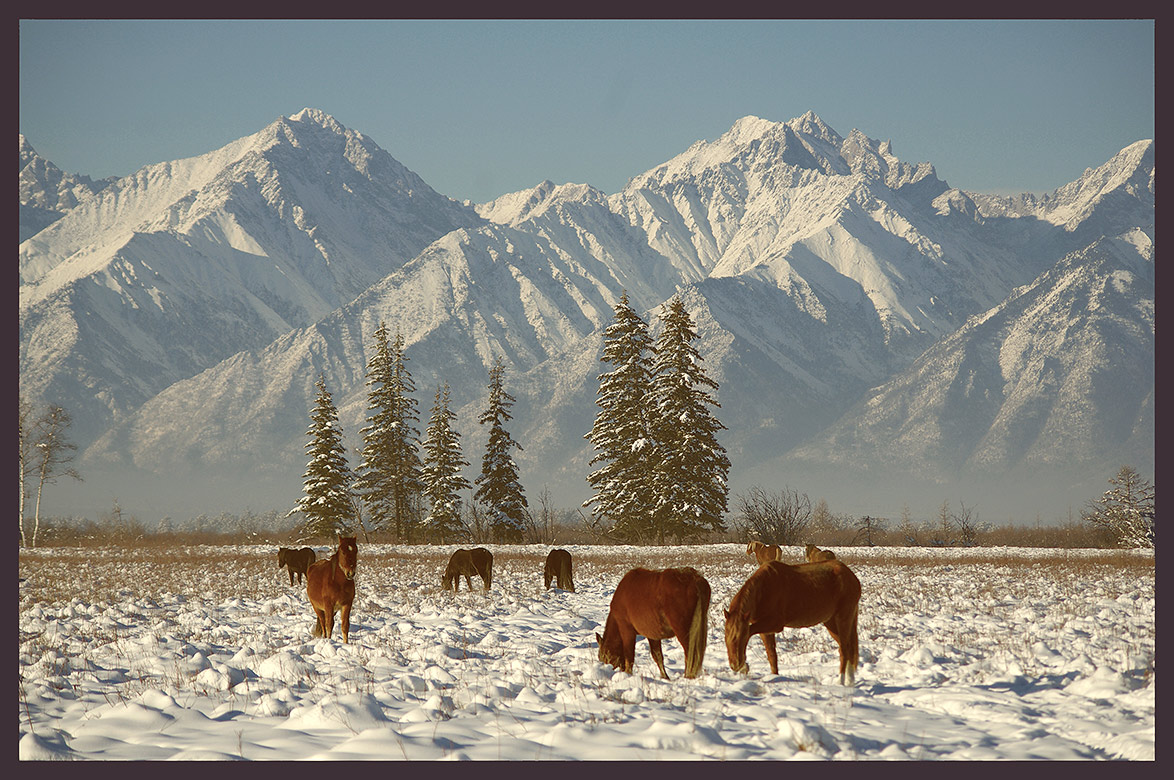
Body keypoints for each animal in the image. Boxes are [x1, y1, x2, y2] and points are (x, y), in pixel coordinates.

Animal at [718, 561, 859, 681]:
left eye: (742, 637)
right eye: (725, 637)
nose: (735, 665)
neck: (764, 589)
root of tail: (852, 577)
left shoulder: (775, 623)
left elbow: (751, 631)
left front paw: (744, 667)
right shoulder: (766, 631)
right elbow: (772, 656)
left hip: (843, 618)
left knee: (844, 650)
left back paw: (841, 682)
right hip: (831, 622)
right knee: (848, 649)